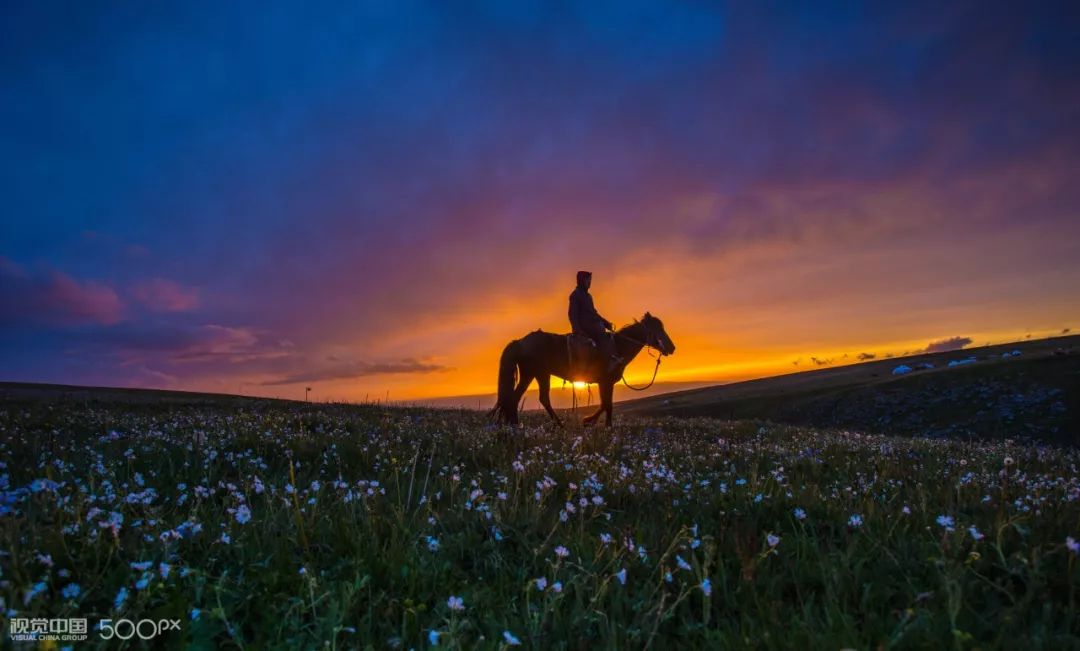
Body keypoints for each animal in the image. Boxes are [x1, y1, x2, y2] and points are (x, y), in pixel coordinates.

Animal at [490, 315, 673, 429]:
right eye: (657, 329)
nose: (672, 348)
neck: (618, 347)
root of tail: (520, 342)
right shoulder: (605, 382)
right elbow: (607, 405)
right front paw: (596, 423)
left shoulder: (605, 383)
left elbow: (606, 404)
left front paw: (593, 422)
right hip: (538, 373)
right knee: (537, 398)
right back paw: (554, 425)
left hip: (534, 374)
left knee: (519, 398)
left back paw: (515, 424)